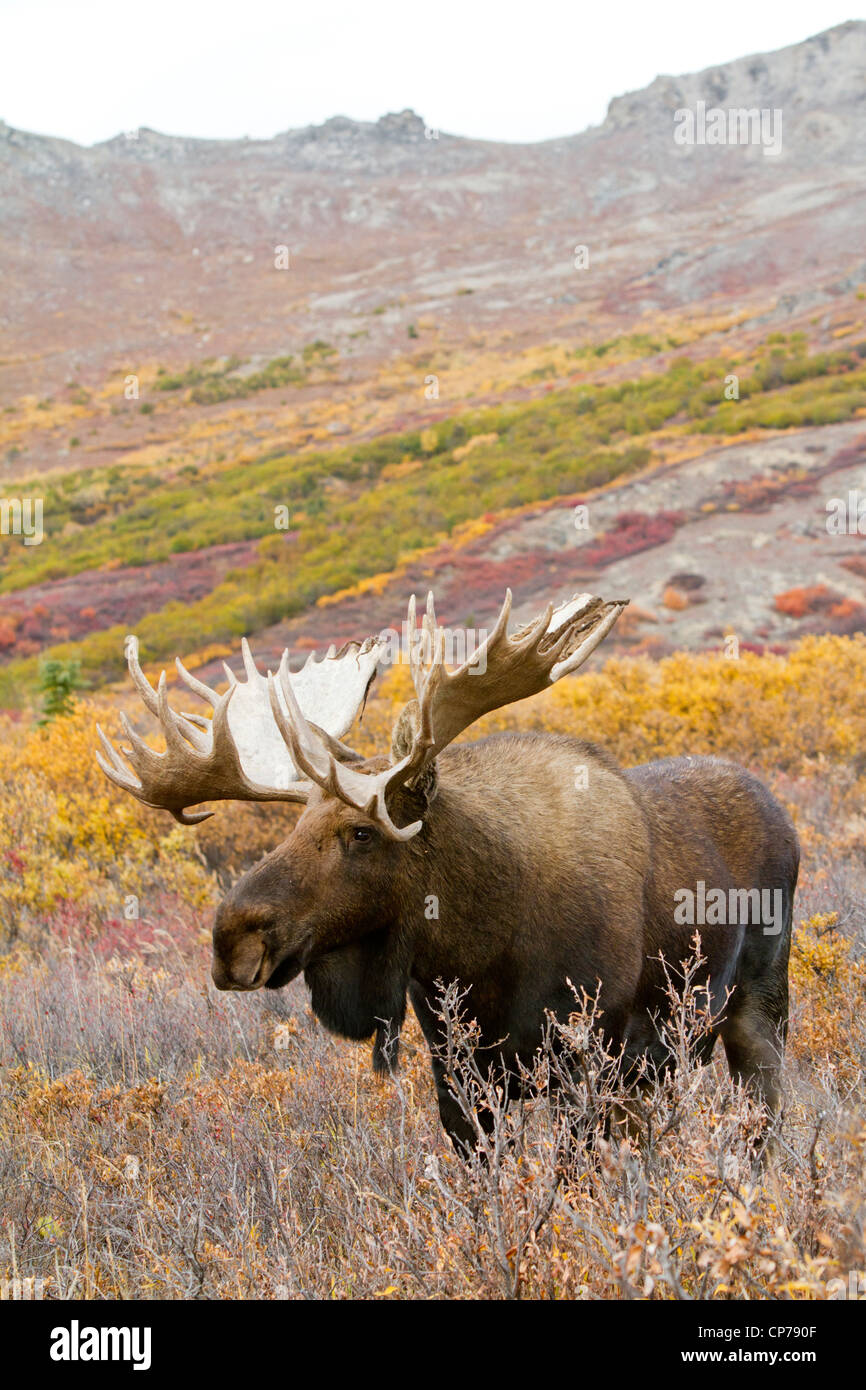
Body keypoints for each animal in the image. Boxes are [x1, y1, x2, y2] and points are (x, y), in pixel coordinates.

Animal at [96, 594, 800, 1150]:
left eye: (362, 832)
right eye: (292, 829)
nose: (231, 939)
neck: (479, 946)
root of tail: (781, 813)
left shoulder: (587, 1065)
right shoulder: (461, 1080)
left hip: (758, 1007)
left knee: (765, 1123)